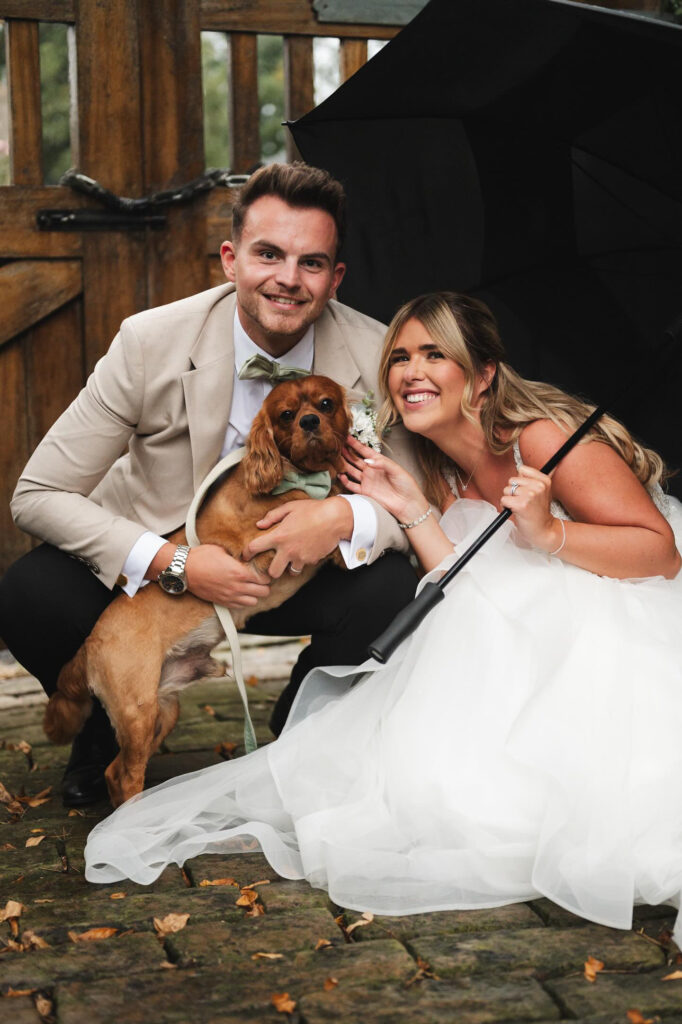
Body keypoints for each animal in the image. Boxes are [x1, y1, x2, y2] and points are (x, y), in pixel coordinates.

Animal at [44, 376, 350, 806]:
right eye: (287, 414)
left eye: (325, 404)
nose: (309, 421)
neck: (299, 472)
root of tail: (88, 644)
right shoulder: (258, 544)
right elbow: (319, 502)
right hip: (138, 712)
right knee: (124, 775)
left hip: (162, 711)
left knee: (114, 771)